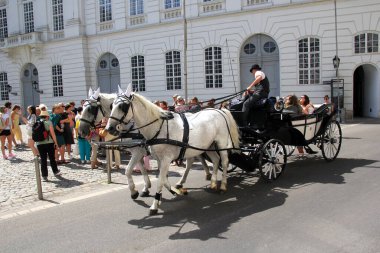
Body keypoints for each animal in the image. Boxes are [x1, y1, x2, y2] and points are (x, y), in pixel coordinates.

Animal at [105, 86, 239, 214]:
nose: (109, 128)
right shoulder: (157, 158)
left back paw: (222, 186)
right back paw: (212, 182)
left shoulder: (162, 158)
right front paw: (175, 191)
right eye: (112, 105)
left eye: (122, 106)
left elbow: (159, 180)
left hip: (221, 143)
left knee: (224, 162)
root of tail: (219, 110)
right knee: (215, 160)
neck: (159, 128)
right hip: (208, 145)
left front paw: (154, 204)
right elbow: (162, 178)